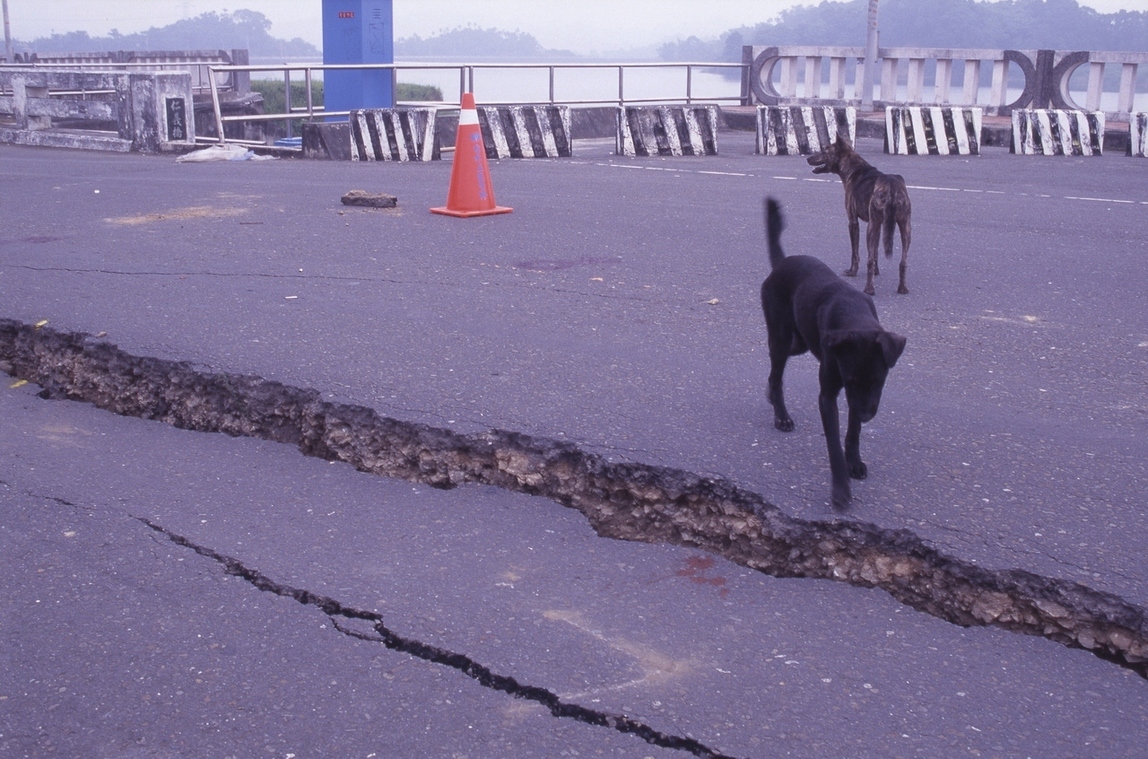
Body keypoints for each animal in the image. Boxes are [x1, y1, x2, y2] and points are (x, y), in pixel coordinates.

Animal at [760, 197, 906, 511]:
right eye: (849, 379)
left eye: (879, 381)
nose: (865, 414)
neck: (855, 317)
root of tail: (782, 264)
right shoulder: (830, 395)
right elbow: (834, 444)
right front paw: (840, 490)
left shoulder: (857, 397)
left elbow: (852, 434)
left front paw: (855, 462)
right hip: (781, 336)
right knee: (776, 372)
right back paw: (781, 415)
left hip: (800, 342)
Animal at [806, 134, 912, 296]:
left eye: (824, 151)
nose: (807, 158)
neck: (854, 168)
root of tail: (891, 186)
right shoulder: (878, 225)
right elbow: (875, 253)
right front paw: (876, 271)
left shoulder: (853, 222)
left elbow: (855, 252)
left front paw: (852, 271)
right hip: (904, 227)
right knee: (903, 262)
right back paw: (902, 288)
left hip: (871, 229)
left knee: (869, 261)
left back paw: (869, 289)